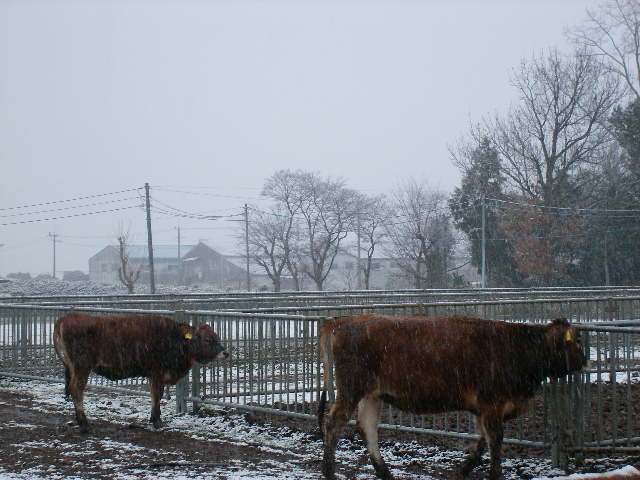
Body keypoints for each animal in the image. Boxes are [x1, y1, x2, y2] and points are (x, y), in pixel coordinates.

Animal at [53, 312, 228, 432]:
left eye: (216, 336)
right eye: (207, 339)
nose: (225, 352)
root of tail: (66, 317)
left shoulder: (152, 375)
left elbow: (153, 395)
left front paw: (152, 418)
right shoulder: (157, 372)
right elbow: (157, 395)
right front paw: (157, 421)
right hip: (82, 367)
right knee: (77, 390)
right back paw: (84, 423)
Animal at [318, 316, 588, 480]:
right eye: (577, 341)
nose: (585, 361)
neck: (517, 348)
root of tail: (345, 319)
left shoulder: (485, 409)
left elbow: (482, 441)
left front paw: (464, 469)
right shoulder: (493, 404)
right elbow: (496, 441)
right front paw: (494, 474)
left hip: (371, 395)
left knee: (367, 427)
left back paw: (384, 472)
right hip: (350, 390)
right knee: (333, 422)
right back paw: (329, 472)